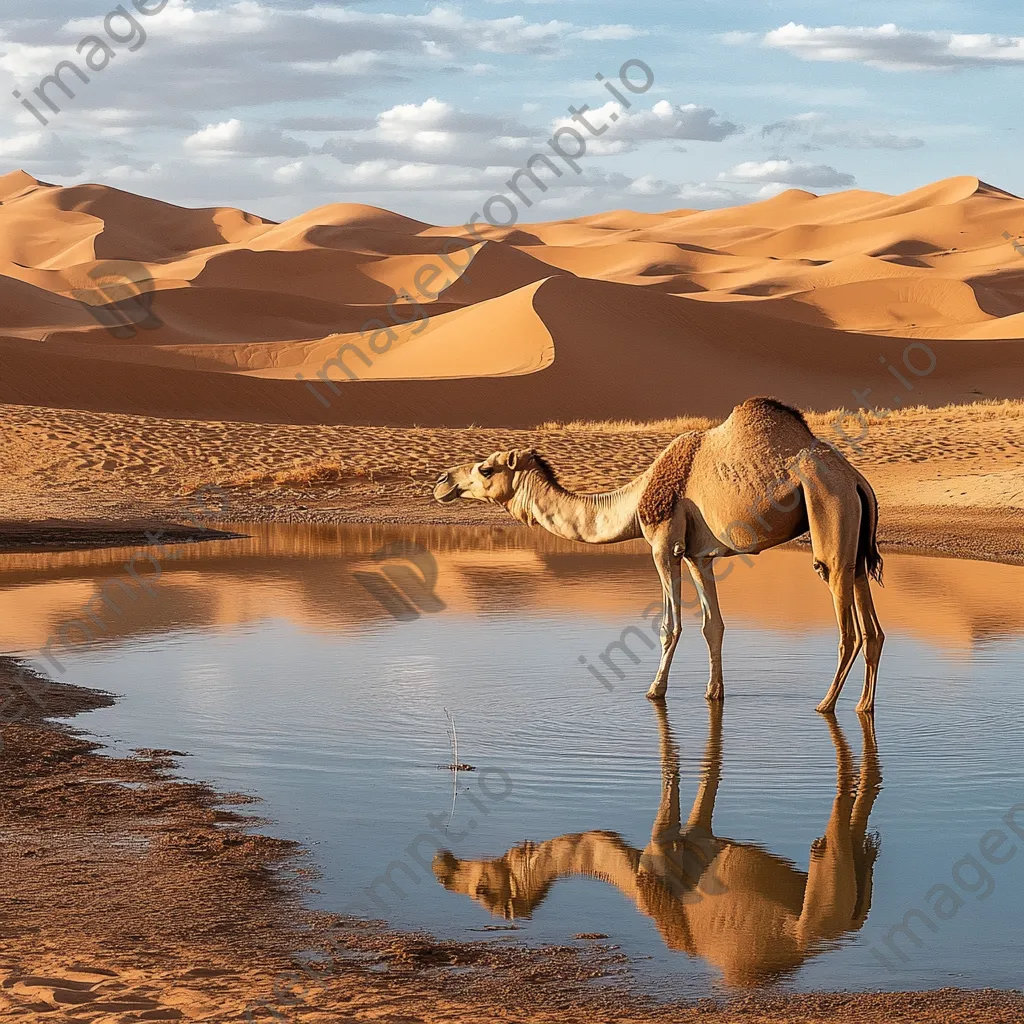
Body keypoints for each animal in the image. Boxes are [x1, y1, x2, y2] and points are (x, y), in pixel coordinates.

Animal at [430, 397, 880, 712]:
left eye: (485, 469)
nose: (441, 482)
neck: (635, 500)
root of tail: (857, 480)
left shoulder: (664, 545)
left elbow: (669, 626)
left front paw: (654, 691)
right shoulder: (700, 556)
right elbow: (713, 626)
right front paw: (714, 693)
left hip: (830, 513)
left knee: (847, 627)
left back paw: (826, 704)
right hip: (855, 539)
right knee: (871, 626)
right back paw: (863, 706)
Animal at [432, 704, 880, 991]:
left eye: (482, 891)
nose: (442, 867)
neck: (637, 877)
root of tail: (850, 923)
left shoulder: (673, 843)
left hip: (822, 895)